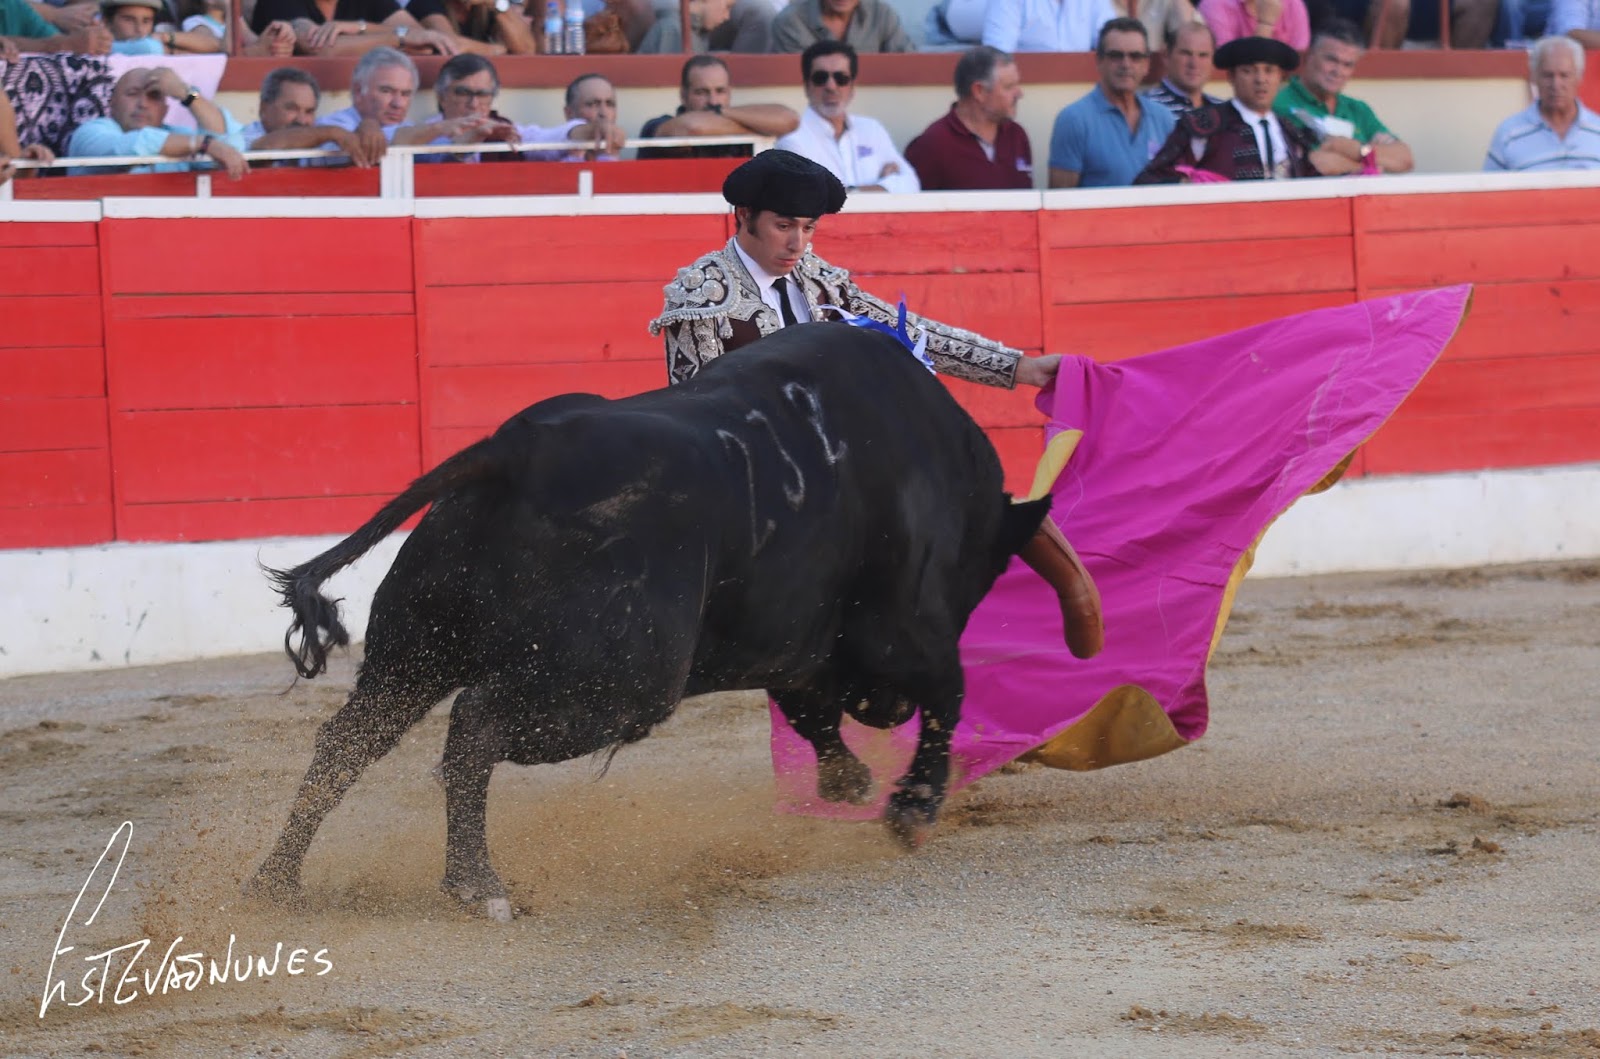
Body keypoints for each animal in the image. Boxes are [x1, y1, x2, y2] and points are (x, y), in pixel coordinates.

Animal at [248, 323, 1062, 922]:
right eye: (982, 577)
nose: (882, 711)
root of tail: (519, 448)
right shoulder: (901, 628)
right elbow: (949, 689)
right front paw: (910, 807)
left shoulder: (794, 643)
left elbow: (811, 710)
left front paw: (850, 779)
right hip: (619, 681)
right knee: (474, 726)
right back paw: (478, 887)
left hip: (416, 648)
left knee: (350, 740)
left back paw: (276, 882)